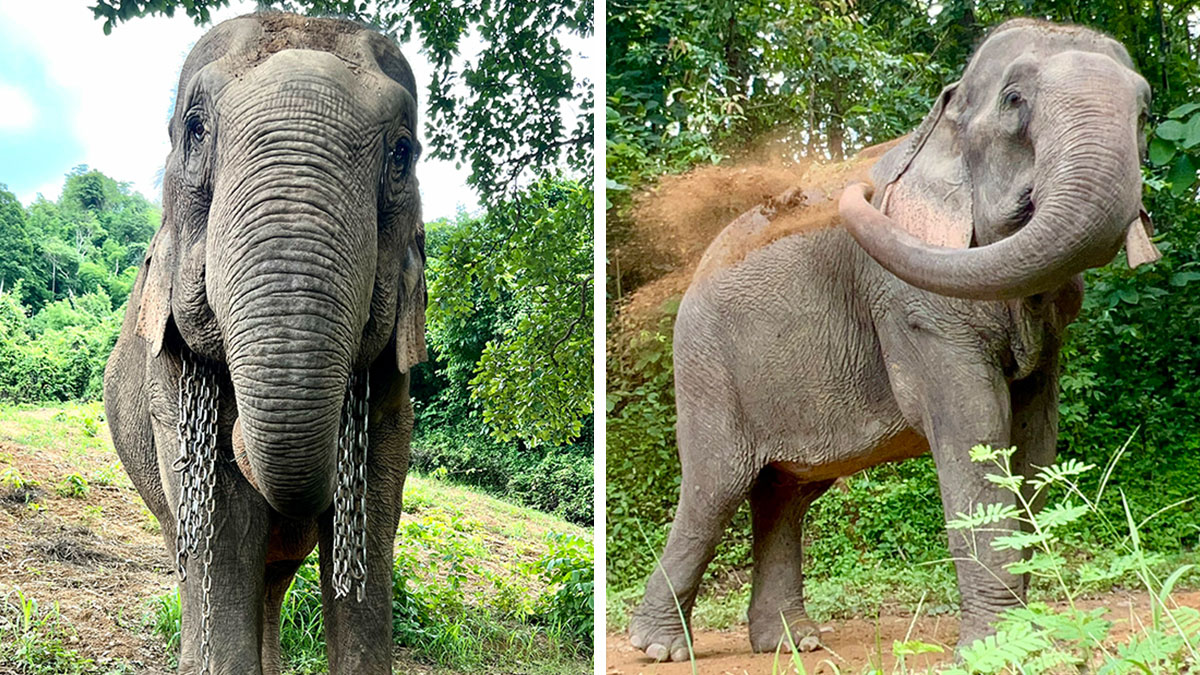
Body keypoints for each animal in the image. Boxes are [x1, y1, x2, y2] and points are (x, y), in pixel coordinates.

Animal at [103, 13, 427, 674]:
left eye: (402, 153)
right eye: (194, 130)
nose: (239, 437)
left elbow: (372, 515)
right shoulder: (168, 382)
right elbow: (222, 528)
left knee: (274, 580)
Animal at [628, 18, 1159, 662]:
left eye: (1146, 114)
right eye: (1014, 101)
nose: (858, 190)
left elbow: (1033, 443)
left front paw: (1028, 642)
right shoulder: (912, 305)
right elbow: (973, 428)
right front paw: (996, 651)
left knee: (784, 492)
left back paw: (793, 643)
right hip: (707, 367)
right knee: (715, 487)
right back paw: (660, 648)